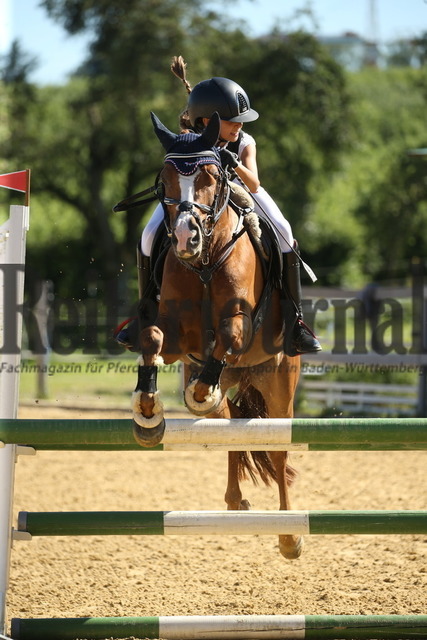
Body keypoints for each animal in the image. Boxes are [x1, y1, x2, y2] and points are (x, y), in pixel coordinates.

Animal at [131, 111, 302, 559]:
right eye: (166, 180)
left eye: (210, 175)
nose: (184, 237)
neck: (206, 260)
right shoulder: (178, 337)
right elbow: (153, 339)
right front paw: (146, 408)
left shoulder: (239, 324)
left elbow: (228, 336)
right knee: (227, 424)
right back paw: (234, 499)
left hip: (280, 385)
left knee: (277, 451)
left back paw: (290, 535)